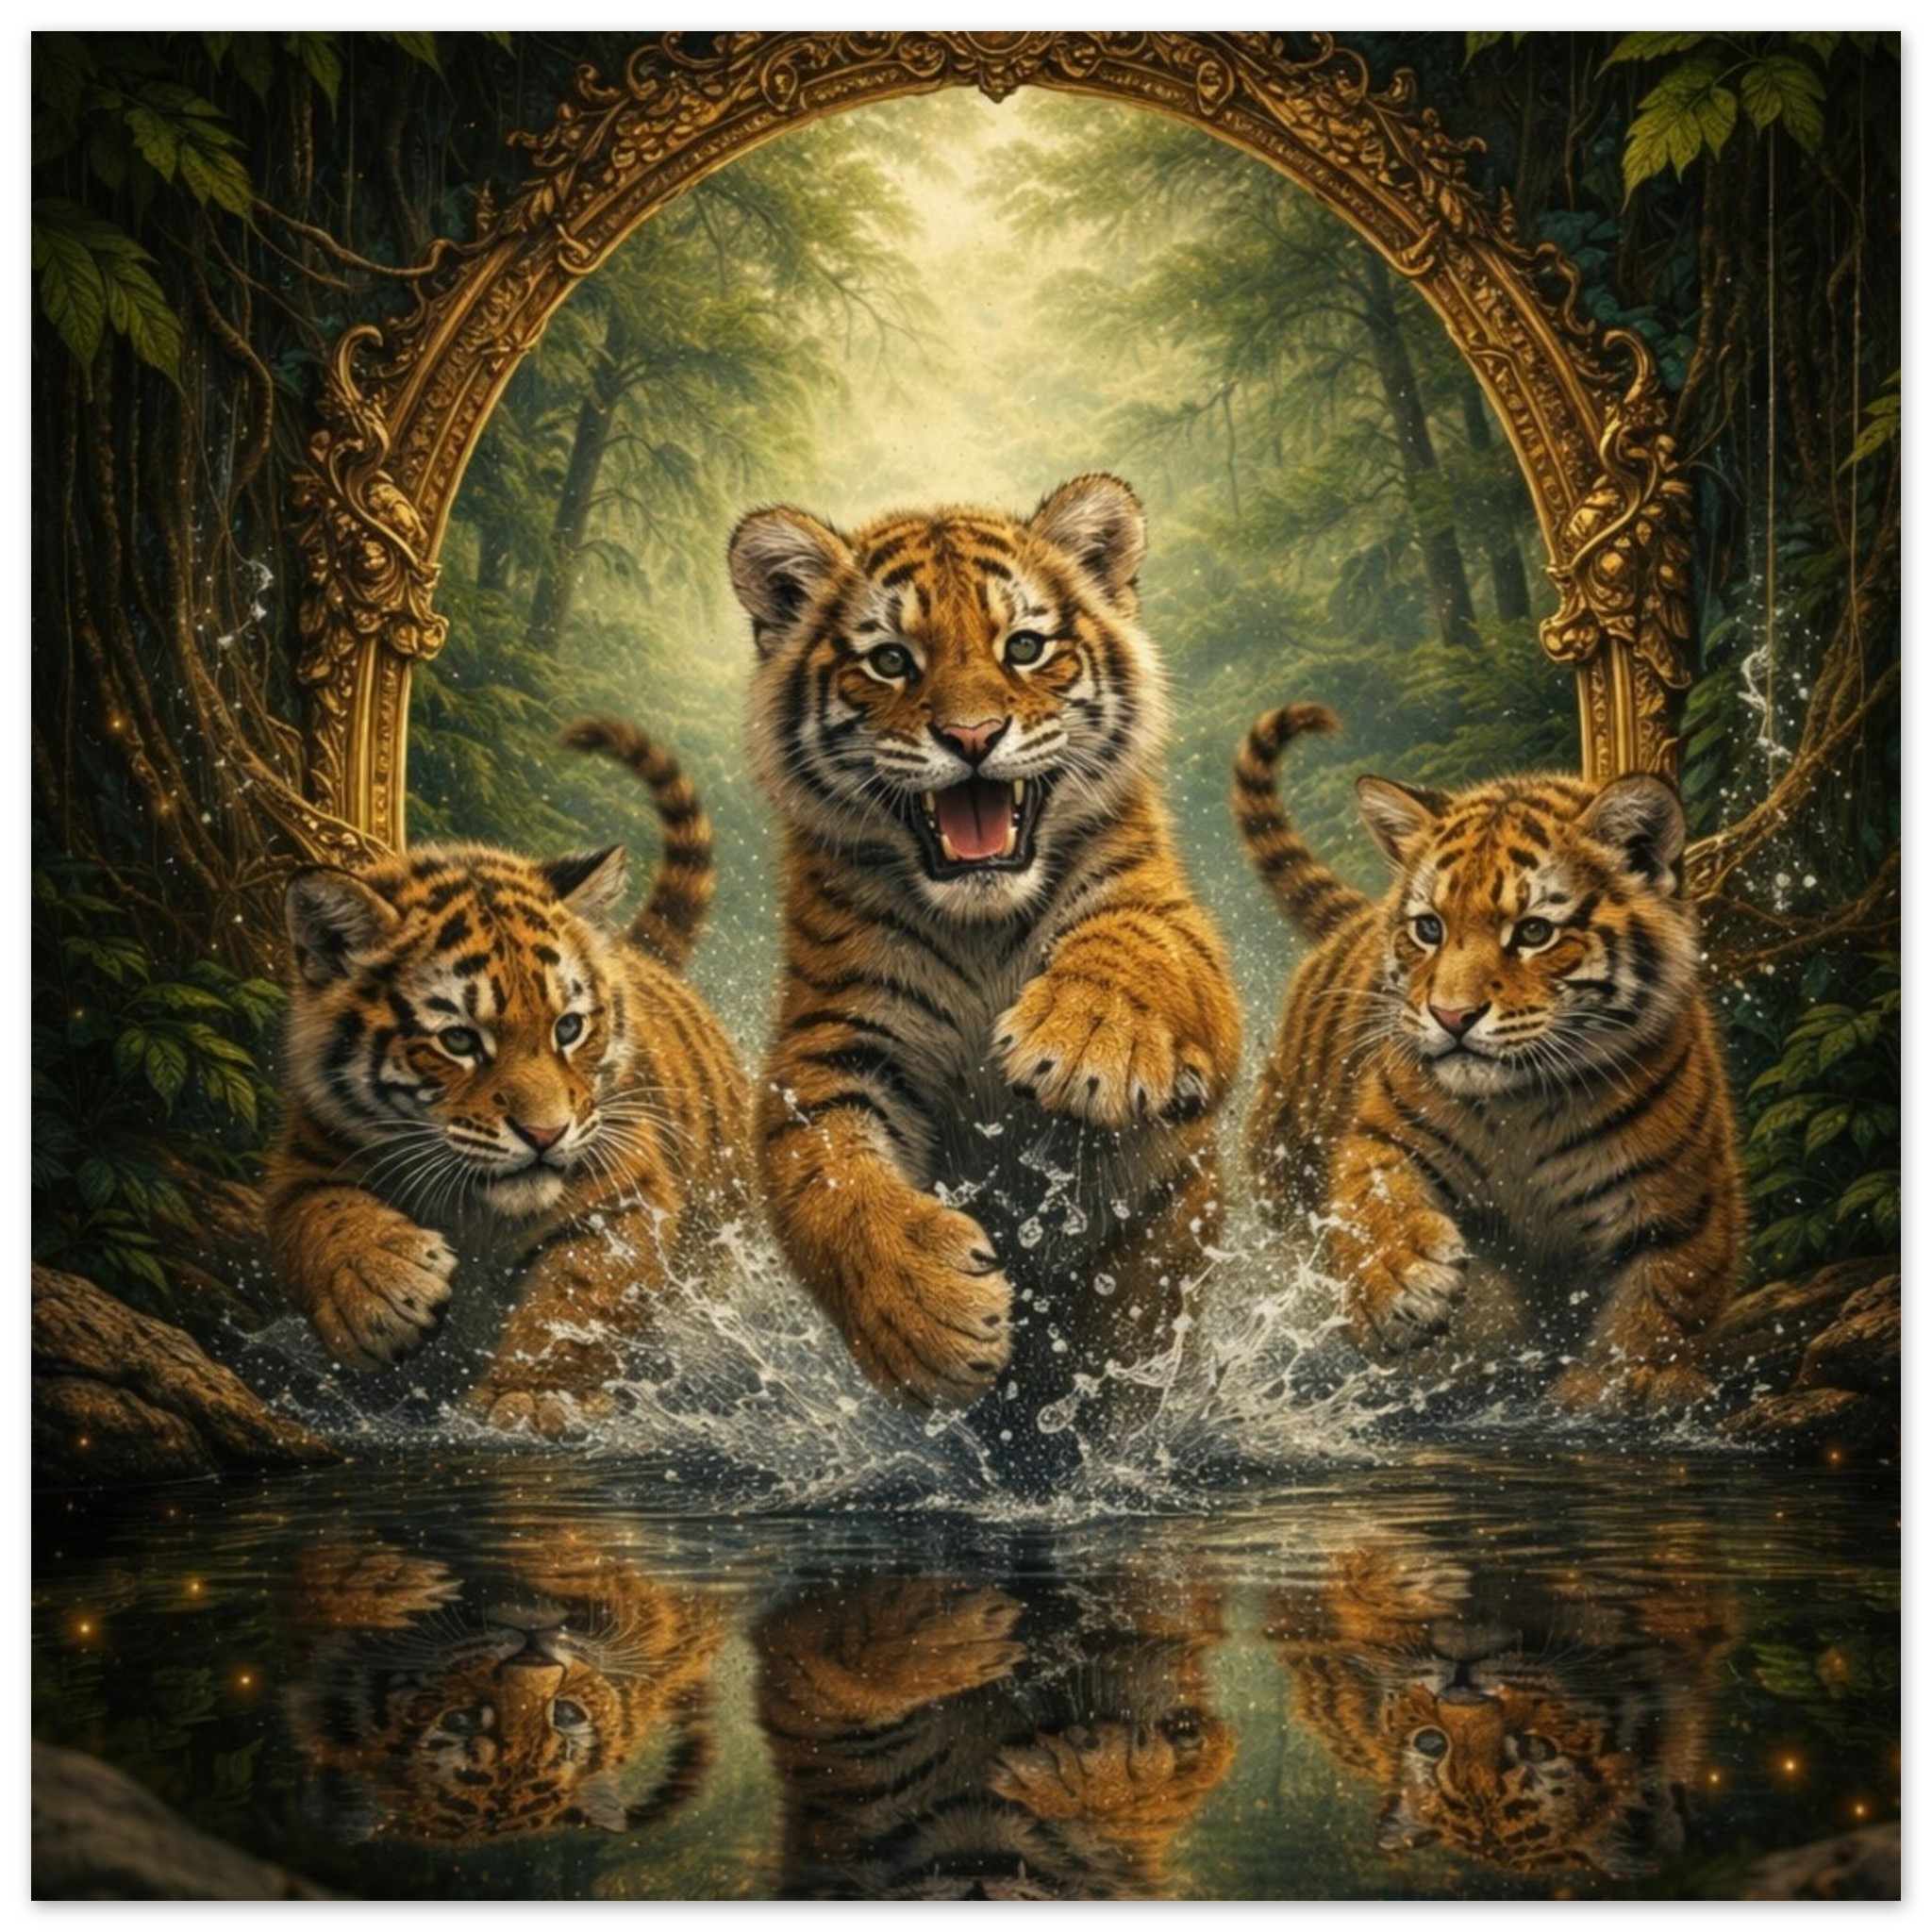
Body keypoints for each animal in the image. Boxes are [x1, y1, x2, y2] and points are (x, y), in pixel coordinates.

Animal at [265, 718, 751, 1434]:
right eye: (459, 1040)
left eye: (568, 1028)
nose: (545, 1135)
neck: (476, 1209)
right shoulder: (304, 1161)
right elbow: (320, 1220)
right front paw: (381, 1290)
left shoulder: (626, 1191)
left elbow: (577, 1299)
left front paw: (531, 1396)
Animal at [729, 474, 1242, 1450]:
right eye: (892, 661)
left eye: (1025, 648)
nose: (972, 737)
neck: (981, 926)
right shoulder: (827, 1043)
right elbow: (831, 1183)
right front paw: (926, 1316)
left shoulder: (1177, 932)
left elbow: (1135, 946)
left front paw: (1084, 1042)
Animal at [1233, 703, 1743, 1412]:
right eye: (1429, 928)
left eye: (1533, 932)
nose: (1452, 1017)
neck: (1527, 1106)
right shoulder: (1380, 1133)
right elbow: (1371, 1201)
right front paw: (1400, 1282)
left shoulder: (1685, 1196)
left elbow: (1665, 1296)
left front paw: (1626, 1384)